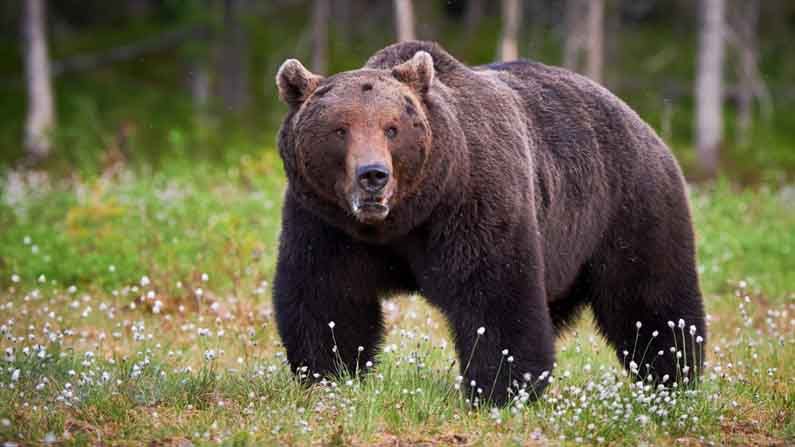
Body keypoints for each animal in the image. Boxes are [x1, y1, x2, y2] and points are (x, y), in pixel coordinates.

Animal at [276, 42, 708, 406]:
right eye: (340, 129)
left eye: (392, 128)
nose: (373, 175)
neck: (406, 217)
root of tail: (642, 122)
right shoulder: (326, 221)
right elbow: (327, 295)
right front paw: (329, 372)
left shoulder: (473, 203)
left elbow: (495, 295)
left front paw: (498, 389)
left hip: (628, 208)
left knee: (650, 298)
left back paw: (673, 377)